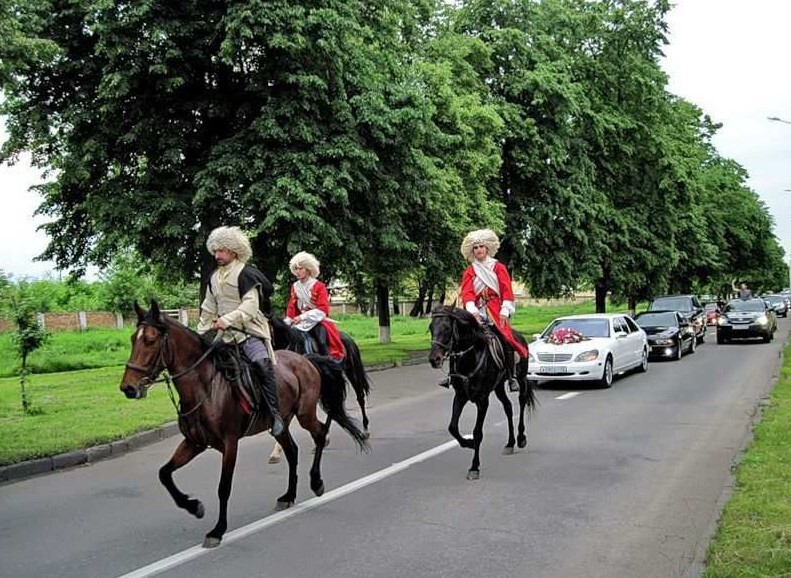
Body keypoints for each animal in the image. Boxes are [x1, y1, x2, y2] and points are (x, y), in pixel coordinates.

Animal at [121, 300, 372, 548]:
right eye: (133, 339)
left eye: (150, 340)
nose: (128, 388)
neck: (206, 387)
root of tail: (305, 360)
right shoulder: (194, 443)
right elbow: (164, 473)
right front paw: (194, 506)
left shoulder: (230, 444)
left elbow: (223, 488)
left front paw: (218, 530)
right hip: (280, 423)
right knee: (292, 450)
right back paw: (289, 495)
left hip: (305, 413)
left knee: (320, 432)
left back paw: (317, 481)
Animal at [426, 306, 540, 476]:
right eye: (431, 327)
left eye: (447, 328)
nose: (434, 359)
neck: (470, 358)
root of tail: (520, 337)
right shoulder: (460, 396)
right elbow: (452, 427)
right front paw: (469, 443)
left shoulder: (482, 400)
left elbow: (477, 432)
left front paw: (474, 466)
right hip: (498, 387)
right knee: (508, 407)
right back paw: (510, 443)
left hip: (521, 379)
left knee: (521, 401)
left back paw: (520, 438)